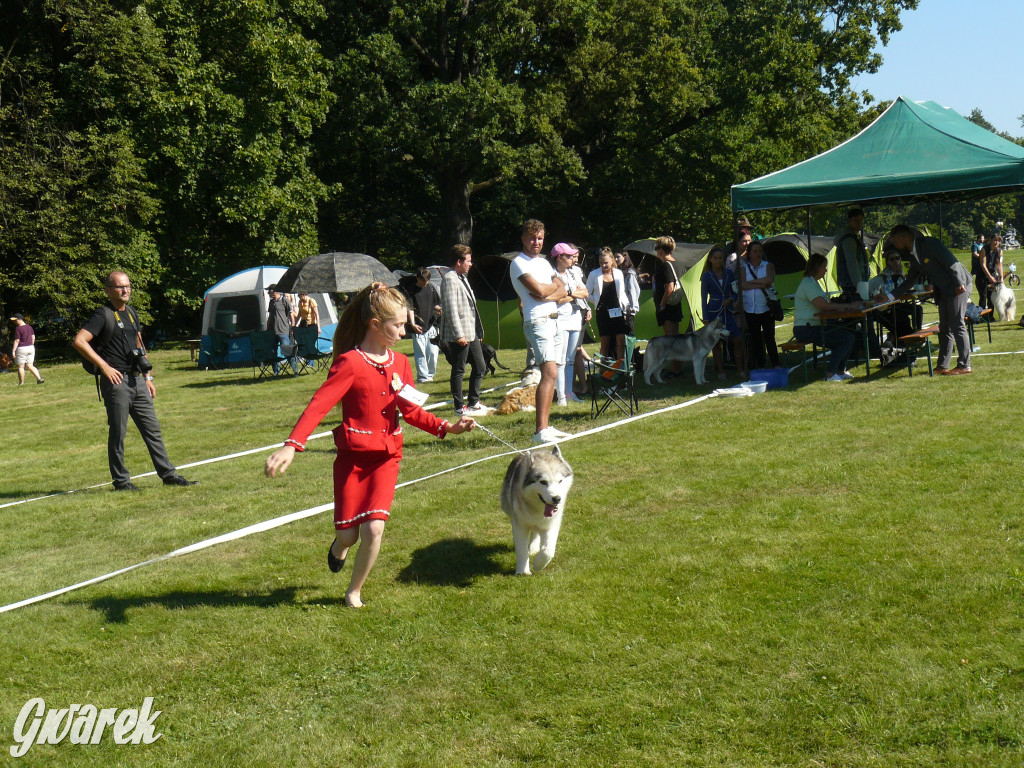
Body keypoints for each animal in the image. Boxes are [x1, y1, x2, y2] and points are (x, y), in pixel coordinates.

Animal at [497, 444, 573, 577]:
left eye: (560, 481)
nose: (557, 499)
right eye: (543, 482)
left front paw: (538, 564)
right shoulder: (520, 526)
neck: (538, 509)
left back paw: (533, 548)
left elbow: (548, 551)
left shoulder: (551, 524)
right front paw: (523, 571)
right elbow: (521, 549)